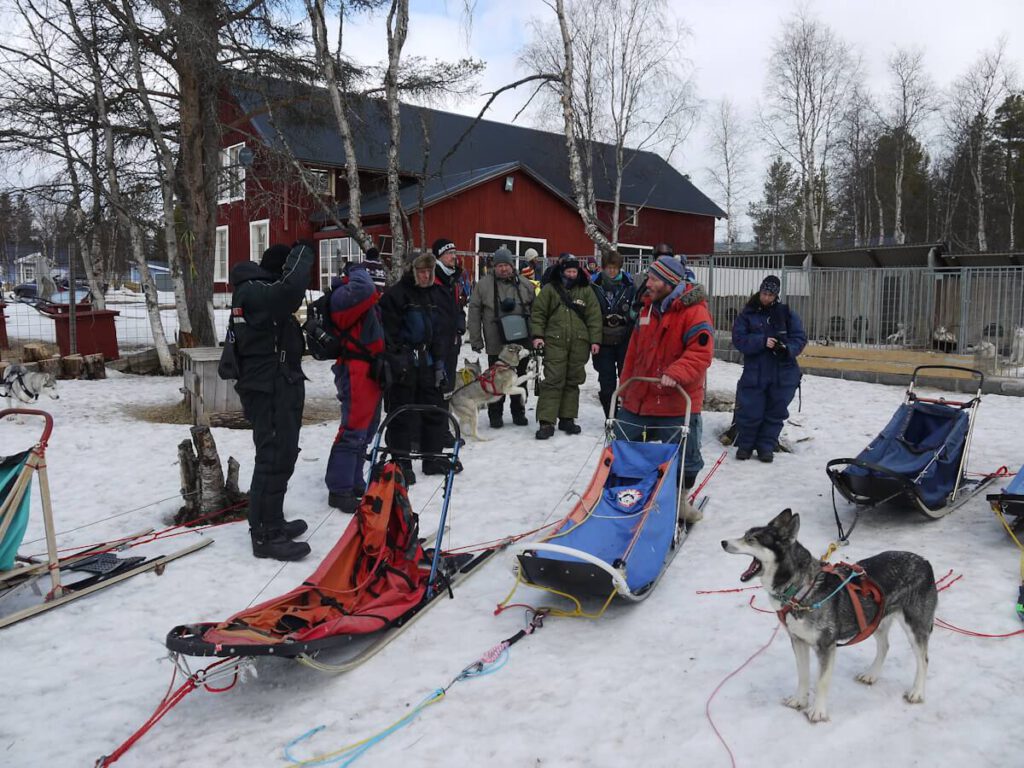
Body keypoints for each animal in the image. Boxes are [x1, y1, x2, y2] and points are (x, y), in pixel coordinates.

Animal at [720, 512, 937, 720]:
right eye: (745, 534)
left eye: (752, 539)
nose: (723, 542)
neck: (800, 590)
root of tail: (925, 562)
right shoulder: (798, 640)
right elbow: (803, 675)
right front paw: (799, 700)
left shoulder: (825, 646)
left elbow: (821, 681)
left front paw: (818, 712)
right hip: (875, 620)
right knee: (885, 646)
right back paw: (872, 674)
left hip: (914, 626)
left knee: (923, 659)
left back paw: (917, 692)